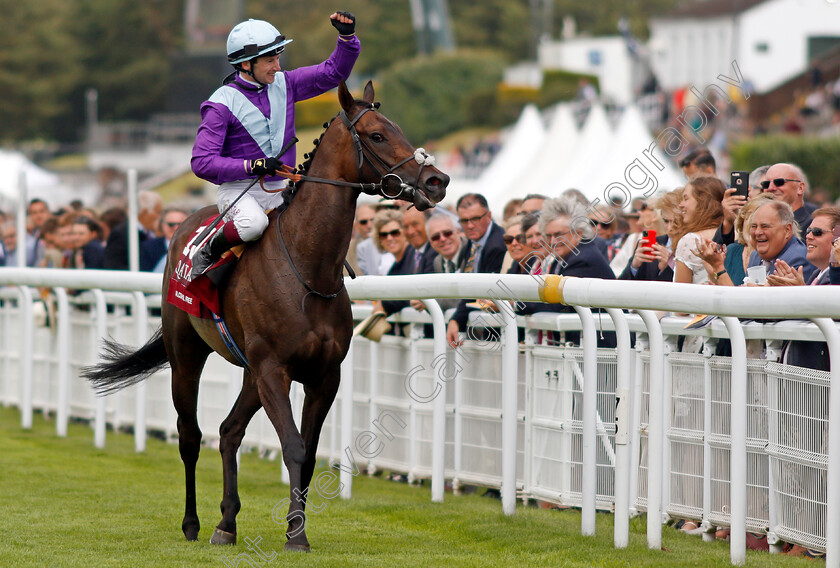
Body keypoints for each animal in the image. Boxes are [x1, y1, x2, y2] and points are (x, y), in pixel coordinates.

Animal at [85, 82, 450, 552]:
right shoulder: (274, 369)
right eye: (377, 135)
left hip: (249, 372)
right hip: (188, 356)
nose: (437, 181)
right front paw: (296, 535)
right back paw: (192, 523)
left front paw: (295, 528)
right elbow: (293, 446)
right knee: (190, 435)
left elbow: (308, 454)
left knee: (228, 431)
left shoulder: (322, 375)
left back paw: (226, 523)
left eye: (398, 128)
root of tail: (185, 224)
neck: (307, 268)